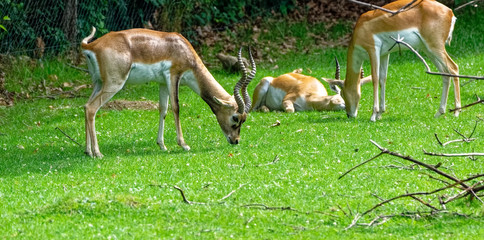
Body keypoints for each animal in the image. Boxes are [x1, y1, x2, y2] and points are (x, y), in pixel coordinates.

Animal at [82, 27, 258, 158]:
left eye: (244, 120)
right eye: (235, 118)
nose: (235, 140)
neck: (182, 48)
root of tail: (91, 46)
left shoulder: (162, 83)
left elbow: (163, 109)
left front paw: (162, 145)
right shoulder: (173, 76)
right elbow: (176, 107)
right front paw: (184, 145)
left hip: (98, 83)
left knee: (85, 106)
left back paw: (88, 151)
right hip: (114, 83)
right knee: (91, 108)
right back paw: (98, 153)